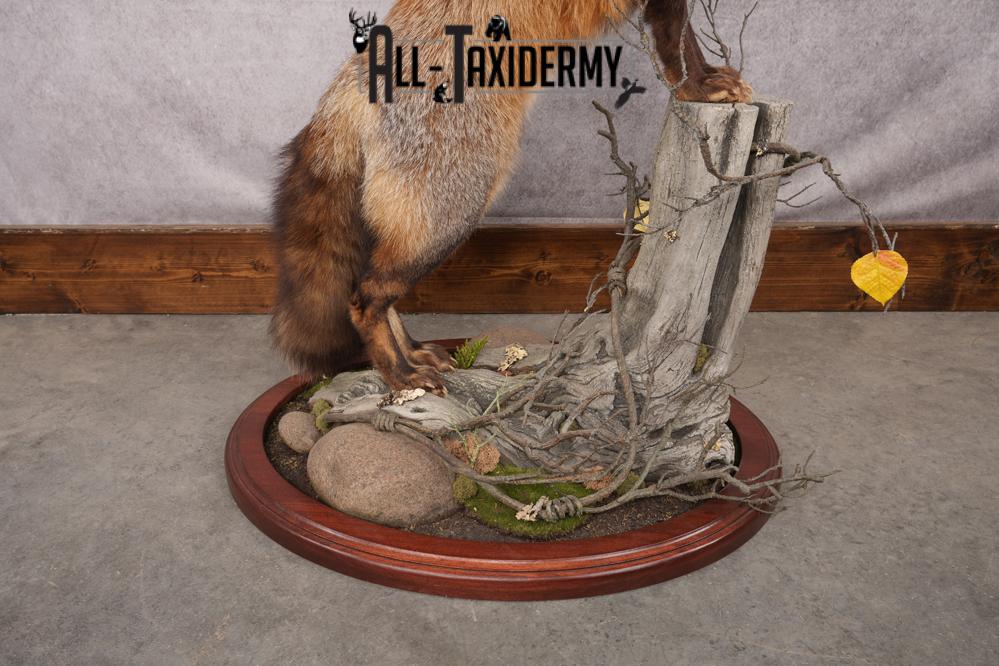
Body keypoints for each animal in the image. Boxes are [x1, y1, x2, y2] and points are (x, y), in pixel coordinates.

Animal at [270, 0, 752, 394]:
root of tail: (344, 89)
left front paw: (704, 83)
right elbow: (677, 42)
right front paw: (698, 87)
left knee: (373, 288)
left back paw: (411, 353)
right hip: (452, 215)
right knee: (364, 298)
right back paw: (400, 375)